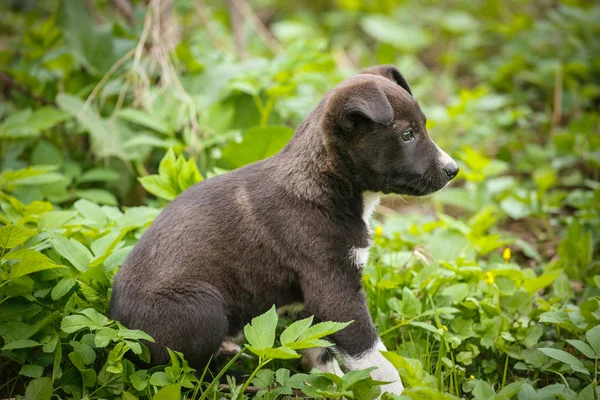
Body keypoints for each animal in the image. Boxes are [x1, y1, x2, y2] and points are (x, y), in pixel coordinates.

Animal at [110, 64, 458, 396]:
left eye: (423, 126)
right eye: (407, 134)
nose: (453, 170)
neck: (327, 183)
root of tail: (115, 325)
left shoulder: (315, 301)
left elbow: (319, 349)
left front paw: (331, 387)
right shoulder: (335, 291)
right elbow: (375, 356)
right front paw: (395, 392)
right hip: (201, 306)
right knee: (186, 372)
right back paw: (232, 378)